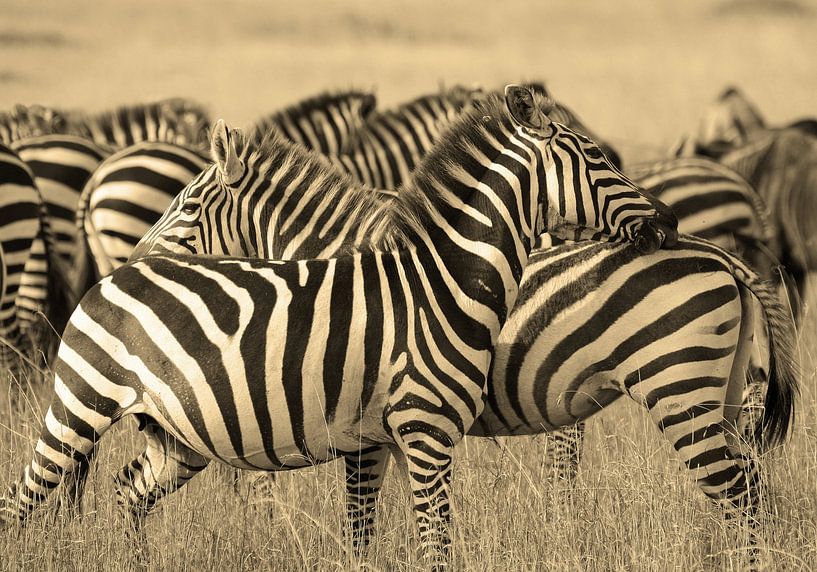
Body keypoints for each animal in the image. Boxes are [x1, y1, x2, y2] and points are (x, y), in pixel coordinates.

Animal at [0, 87, 674, 568]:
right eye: (598, 159)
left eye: (188, 205)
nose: (667, 223)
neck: (436, 279)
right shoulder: (405, 433)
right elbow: (403, 538)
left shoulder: (383, 435)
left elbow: (375, 534)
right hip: (84, 407)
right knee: (26, 499)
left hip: (167, 433)